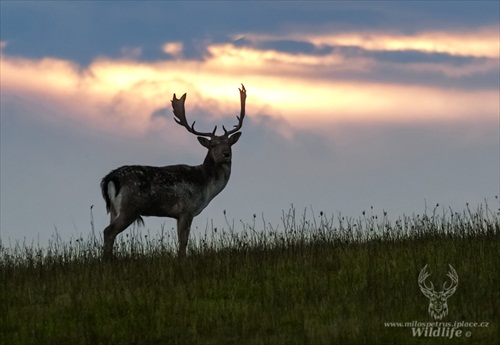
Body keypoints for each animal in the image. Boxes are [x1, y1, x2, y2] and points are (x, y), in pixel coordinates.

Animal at [100, 84, 246, 260]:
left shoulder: (178, 215)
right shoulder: (187, 209)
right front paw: (182, 260)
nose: (226, 154)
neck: (205, 185)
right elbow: (183, 242)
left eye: (229, 144)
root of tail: (111, 177)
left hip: (114, 209)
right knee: (108, 232)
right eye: (212, 145)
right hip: (130, 207)